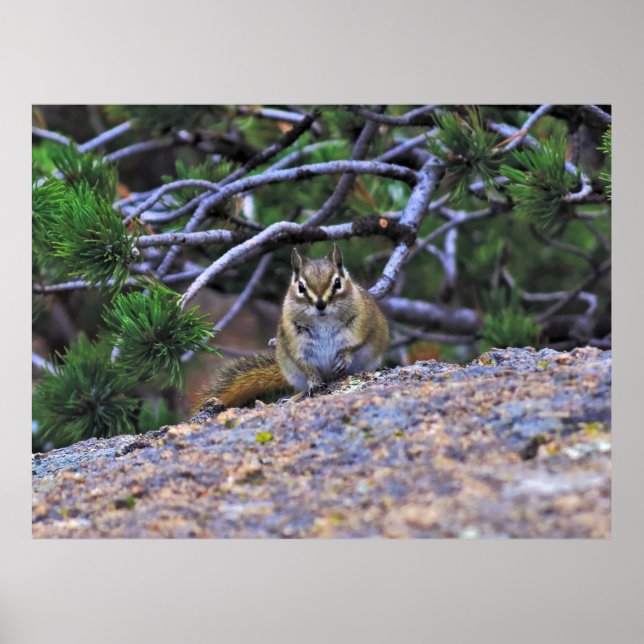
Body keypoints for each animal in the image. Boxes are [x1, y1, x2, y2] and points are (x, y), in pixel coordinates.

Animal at [196, 244, 390, 411]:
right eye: (301, 287)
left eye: (337, 283)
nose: (320, 304)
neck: (323, 321)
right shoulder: (296, 342)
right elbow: (305, 365)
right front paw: (314, 382)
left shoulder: (362, 322)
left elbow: (356, 343)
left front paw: (344, 358)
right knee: (301, 388)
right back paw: (293, 398)